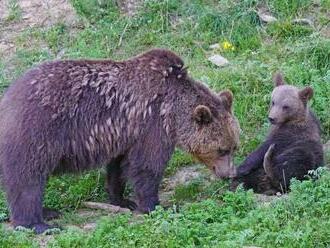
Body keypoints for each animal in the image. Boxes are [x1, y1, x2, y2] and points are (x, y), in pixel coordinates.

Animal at [0, 49, 238, 233]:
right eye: (222, 149)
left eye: (234, 146)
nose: (229, 173)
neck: (172, 111)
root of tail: (8, 98)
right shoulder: (152, 125)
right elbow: (147, 166)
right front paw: (156, 205)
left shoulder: (125, 134)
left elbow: (119, 167)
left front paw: (122, 199)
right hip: (38, 131)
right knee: (28, 178)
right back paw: (38, 223)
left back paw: (48, 211)